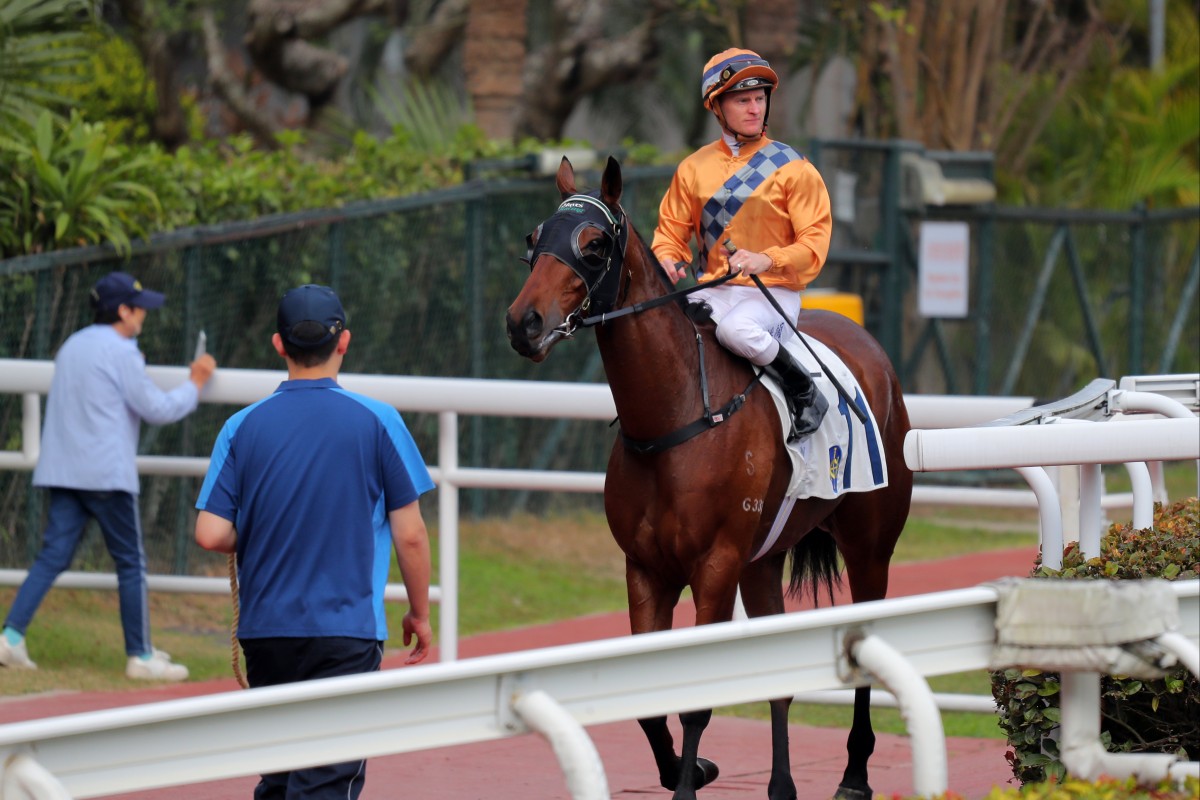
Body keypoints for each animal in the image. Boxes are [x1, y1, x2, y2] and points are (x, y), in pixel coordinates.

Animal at [504, 155, 907, 800]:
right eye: (534, 238)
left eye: (594, 245)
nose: (525, 322)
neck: (674, 421)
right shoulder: (646, 568)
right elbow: (649, 701)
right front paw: (687, 768)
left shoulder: (714, 566)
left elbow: (696, 700)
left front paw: (689, 781)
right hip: (763, 560)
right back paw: (781, 786)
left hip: (870, 546)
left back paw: (853, 775)